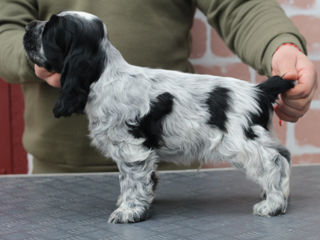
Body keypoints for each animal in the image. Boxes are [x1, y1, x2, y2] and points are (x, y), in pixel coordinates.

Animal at [23, 11, 296, 224]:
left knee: (276, 161)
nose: (27, 26)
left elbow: (132, 180)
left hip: (242, 142)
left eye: (51, 28)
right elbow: (135, 179)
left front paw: (129, 211)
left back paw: (272, 204)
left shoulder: (132, 148)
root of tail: (259, 90)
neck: (105, 77)